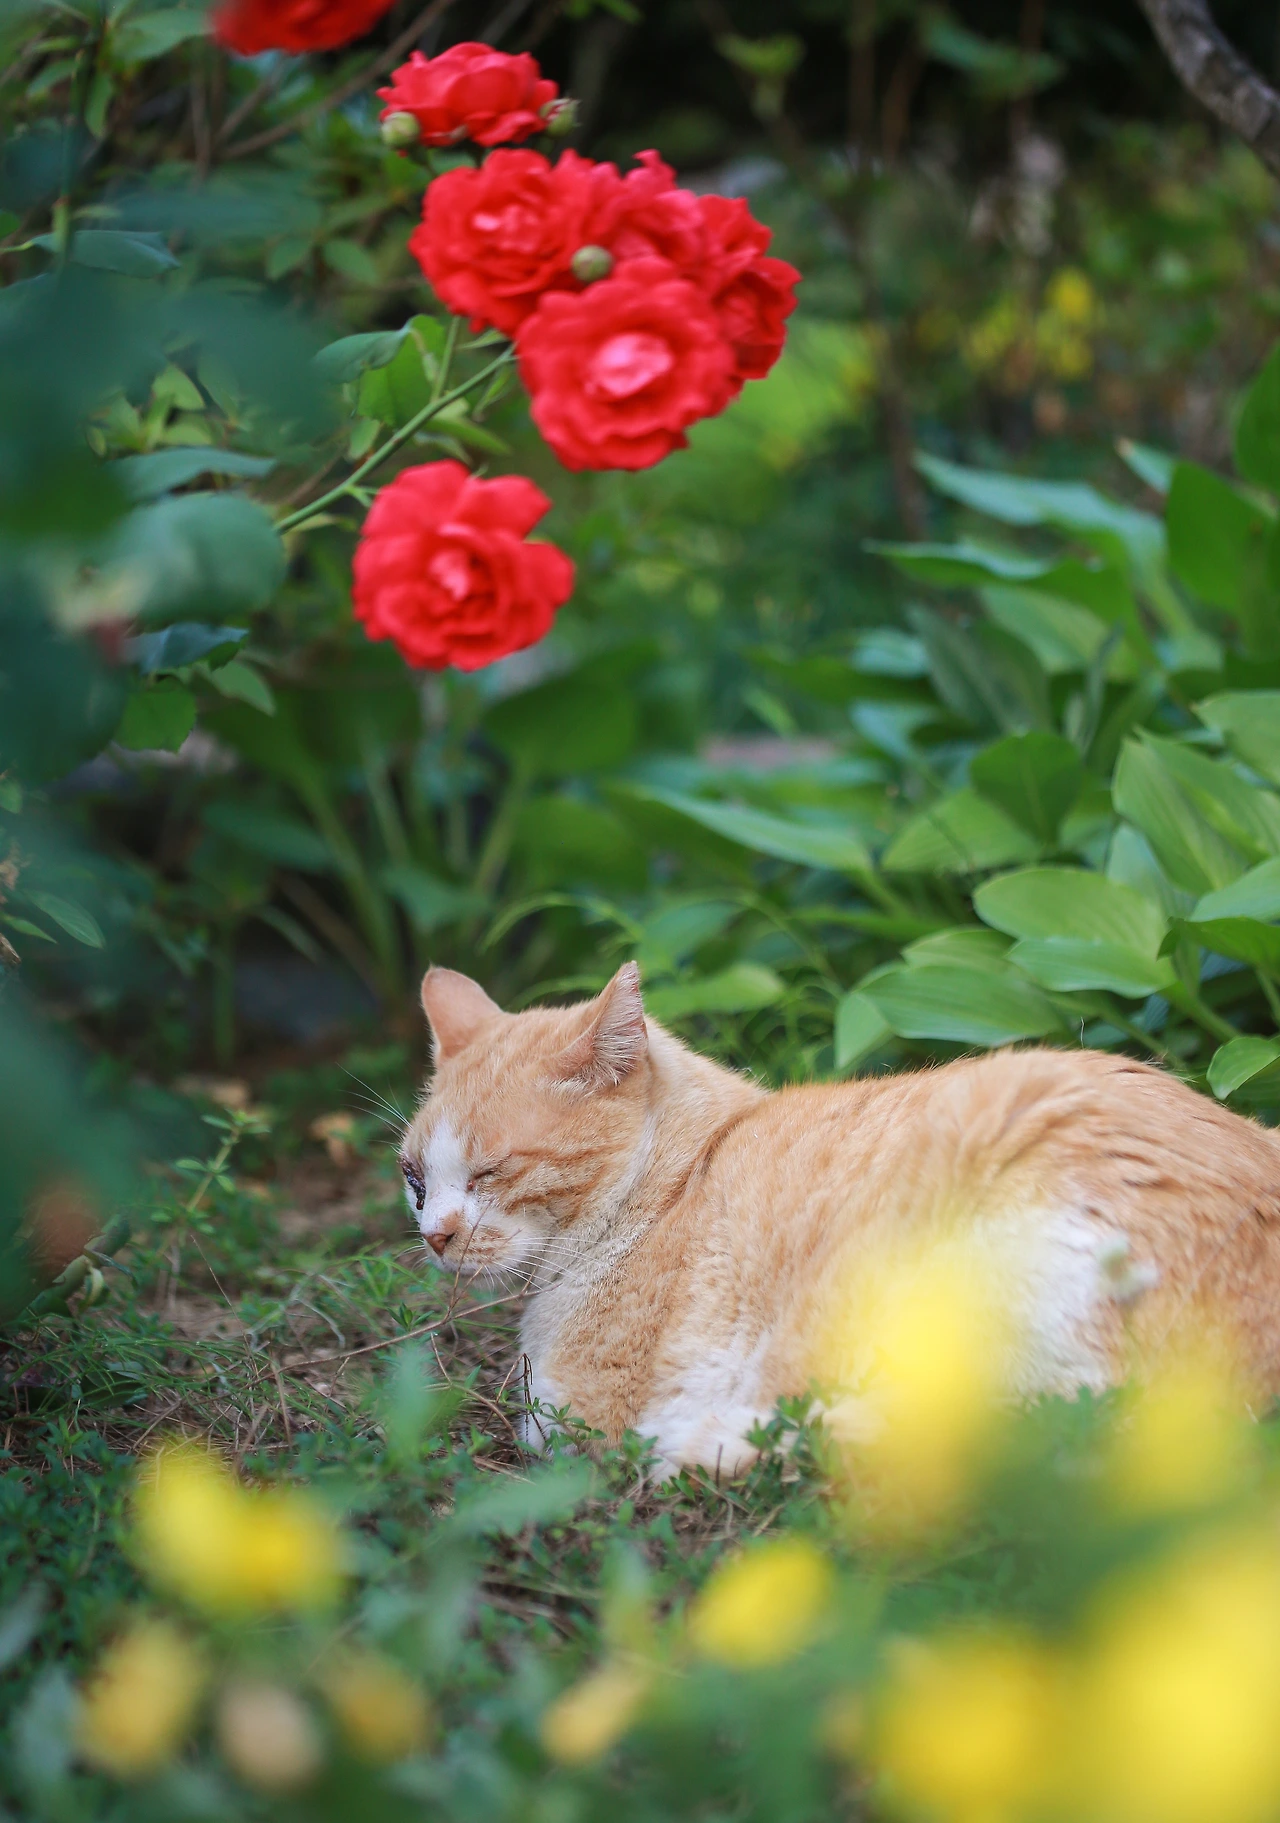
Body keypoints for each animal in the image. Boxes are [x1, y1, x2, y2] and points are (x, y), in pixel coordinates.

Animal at [398, 961, 1280, 1476]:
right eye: (414, 1179)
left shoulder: (575, 1408)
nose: (436, 1235)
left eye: (490, 1171)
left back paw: (707, 1447)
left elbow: (550, 1428)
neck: (681, 1170)